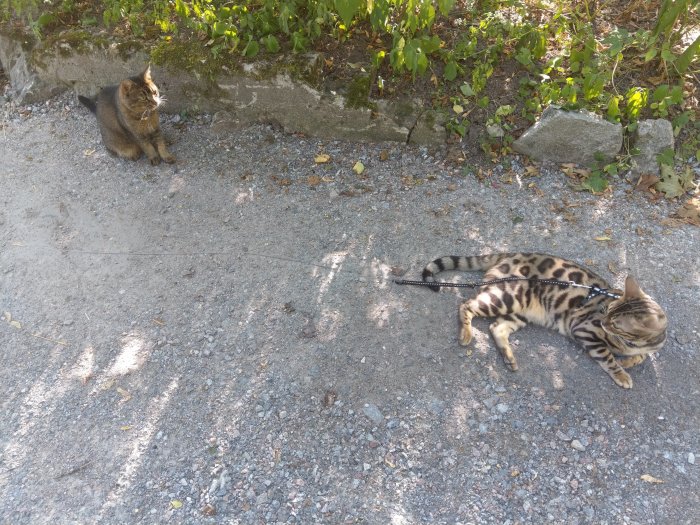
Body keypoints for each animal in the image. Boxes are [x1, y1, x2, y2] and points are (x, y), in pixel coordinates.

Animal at [422, 254, 668, 388]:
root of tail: (511, 254)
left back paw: (509, 357)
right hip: (506, 297)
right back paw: (466, 334)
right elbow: (607, 356)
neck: (631, 343)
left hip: (520, 311)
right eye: (605, 311)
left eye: (615, 322)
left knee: (496, 327)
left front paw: (629, 361)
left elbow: (643, 357)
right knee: (466, 304)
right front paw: (621, 372)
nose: (603, 323)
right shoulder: (584, 329)